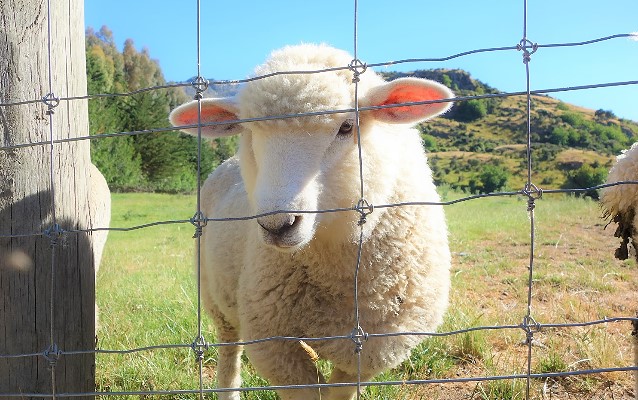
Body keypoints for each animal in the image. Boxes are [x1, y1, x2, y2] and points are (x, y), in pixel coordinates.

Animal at [170, 43, 456, 400]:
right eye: (249, 131)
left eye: (347, 127)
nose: (276, 225)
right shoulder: (273, 342)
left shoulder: (370, 348)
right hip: (216, 297)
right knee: (229, 353)